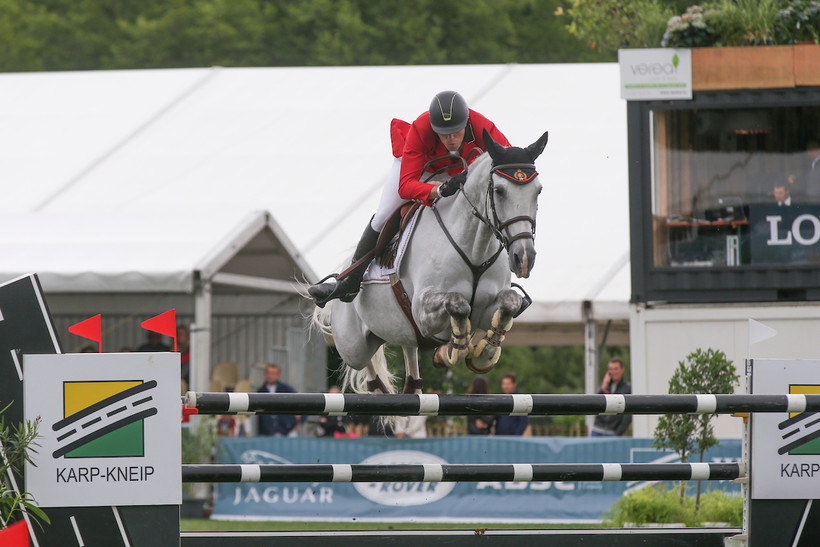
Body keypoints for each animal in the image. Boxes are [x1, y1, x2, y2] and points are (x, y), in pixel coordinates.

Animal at [314, 131, 552, 396]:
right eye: (499, 191)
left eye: (538, 191)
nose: (524, 258)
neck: (474, 247)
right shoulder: (423, 311)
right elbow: (458, 303)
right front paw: (451, 351)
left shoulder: (487, 309)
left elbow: (509, 303)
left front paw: (483, 354)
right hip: (353, 344)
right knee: (364, 366)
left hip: (399, 332)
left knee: (408, 349)